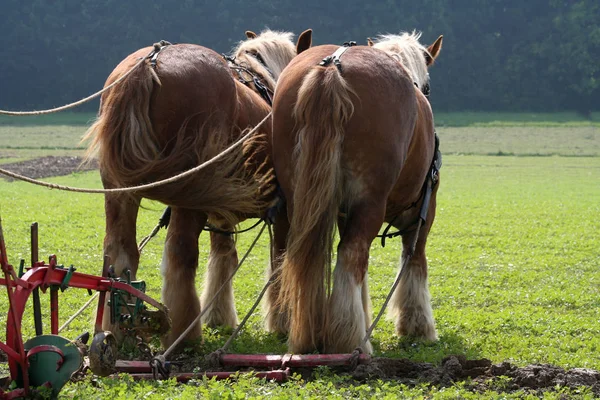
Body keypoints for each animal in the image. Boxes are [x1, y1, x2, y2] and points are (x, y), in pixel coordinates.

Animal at [86, 28, 312, 346]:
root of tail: (148, 64)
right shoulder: (283, 213)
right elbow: (279, 259)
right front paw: (282, 321)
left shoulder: (221, 214)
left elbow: (224, 255)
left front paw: (218, 316)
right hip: (189, 196)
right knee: (179, 256)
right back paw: (184, 336)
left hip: (122, 194)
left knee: (120, 254)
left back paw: (117, 330)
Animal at [272, 33, 440, 354]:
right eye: (428, 86)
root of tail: (332, 67)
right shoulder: (423, 213)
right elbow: (415, 260)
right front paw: (417, 325)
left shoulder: (342, 211)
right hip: (370, 202)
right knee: (351, 254)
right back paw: (351, 340)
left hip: (299, 198)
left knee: (303, 255)